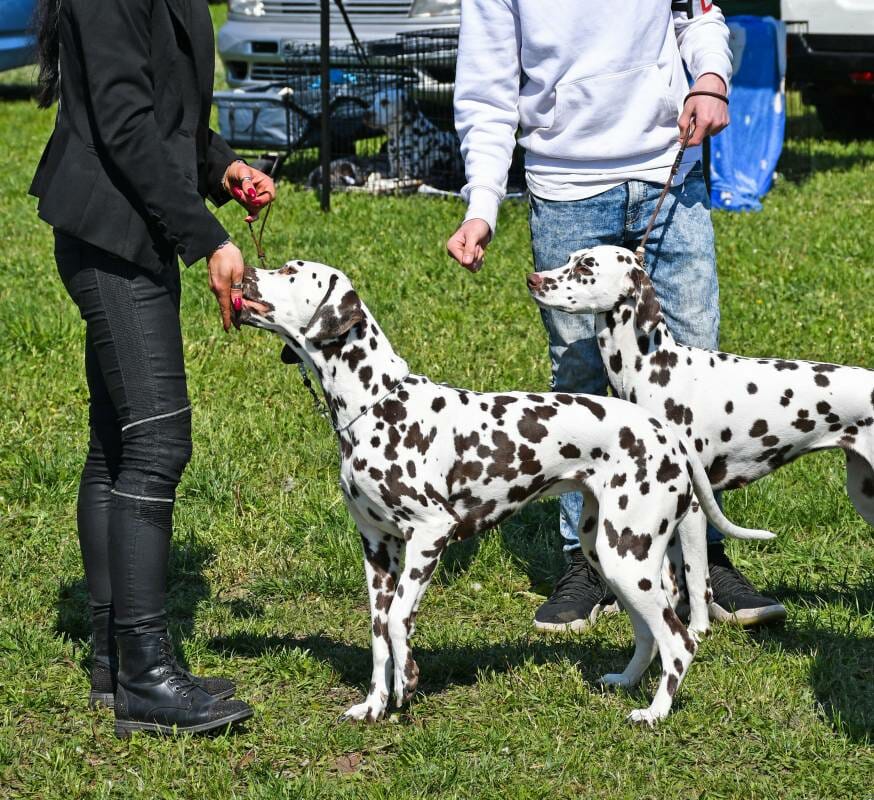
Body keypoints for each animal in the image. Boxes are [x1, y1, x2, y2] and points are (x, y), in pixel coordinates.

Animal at [237, 260, 768, 724]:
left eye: (290, 270)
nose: (242, 273)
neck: (376, 403)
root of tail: (665, 433)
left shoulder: (430, 534)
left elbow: (397, 623)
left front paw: (407, 680)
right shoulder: (377, 549)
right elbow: (379, 634)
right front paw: (374, 705)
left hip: (628, 557)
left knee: (679, 641)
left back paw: (655, 713)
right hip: (607, 553)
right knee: (649, 634)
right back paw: (624, 682)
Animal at [524, 244, 872, 620]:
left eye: (586, 267)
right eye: (570, 259)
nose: (533, 278)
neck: (653, 367)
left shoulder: (690, 506)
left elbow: (691, 577)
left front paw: (693, 627)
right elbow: (670, 579)